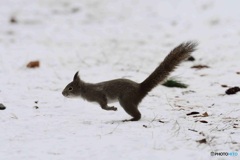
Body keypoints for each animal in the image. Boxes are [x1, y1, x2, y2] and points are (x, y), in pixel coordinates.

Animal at [62, 41, 198, 121]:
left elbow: (103, 106)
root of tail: (140, 88)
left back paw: (131, 119)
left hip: (126, 100)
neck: (85, 90)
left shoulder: (99, 95)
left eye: (70, 88)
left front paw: (112, 109)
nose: (62, 93)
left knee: (138, 115)